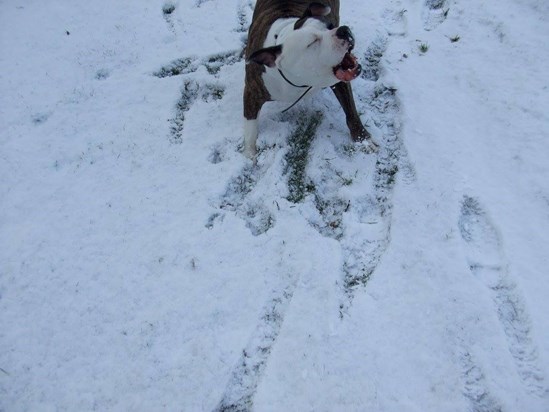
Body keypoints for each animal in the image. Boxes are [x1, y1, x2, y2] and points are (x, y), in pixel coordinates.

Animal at [243, 0, 376, 159]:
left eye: (330, 26)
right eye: (312, 42)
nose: (343, 30)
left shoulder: (340, 82)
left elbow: (351, 111)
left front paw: (363, 139)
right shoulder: (252, 91)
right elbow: (250, 125)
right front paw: (250, 153)